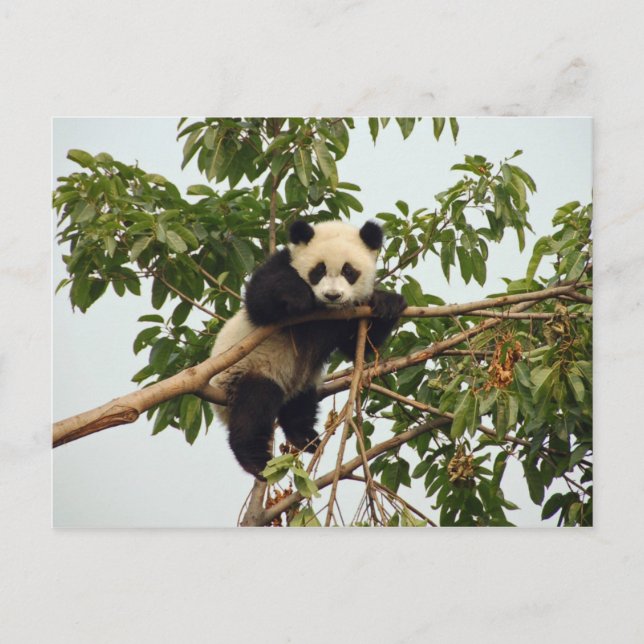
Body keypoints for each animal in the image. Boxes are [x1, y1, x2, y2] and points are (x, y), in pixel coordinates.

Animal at [209, 219, 406, 478]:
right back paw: (255, 458)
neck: (323, 312)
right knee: (255, 405)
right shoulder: (280, 265)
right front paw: (299, 296)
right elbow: (259, 298)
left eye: (349, 271)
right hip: (246, 370)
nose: (332, 295)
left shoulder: (347, 316)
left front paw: (387, 301)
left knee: (301, 406)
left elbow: (357, 345)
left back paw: (305, 437)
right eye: (318, 270)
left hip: (301, 380)